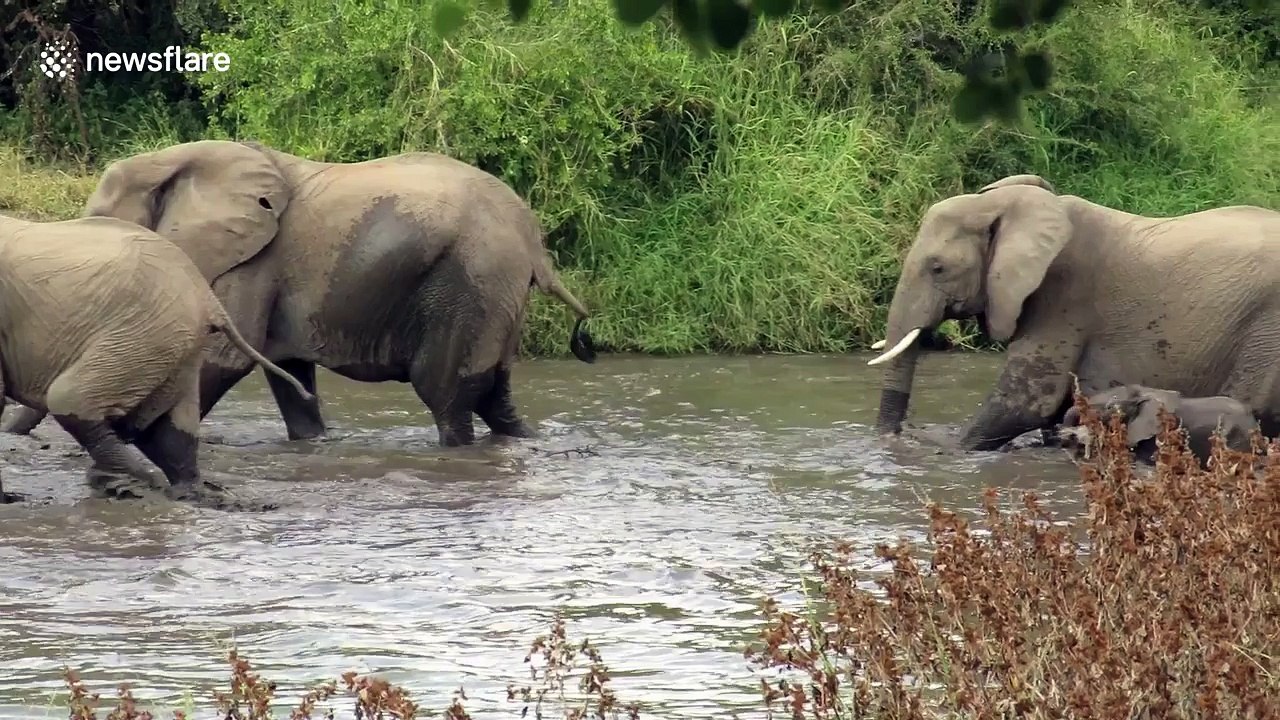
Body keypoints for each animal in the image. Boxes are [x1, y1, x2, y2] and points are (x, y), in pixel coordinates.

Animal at [0, 213, 313, 504]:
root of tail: (209, 297)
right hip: (168, 345)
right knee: (164, 428)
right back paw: (182, 492)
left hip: (142, 334)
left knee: (71, 400)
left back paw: (134, 483)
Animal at [1, 139, 597, 447]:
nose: (24, 441)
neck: (175, 159)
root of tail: (533, 241)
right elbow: (289, 374)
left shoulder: (255, 261)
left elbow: (221, 360)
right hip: (496, 293)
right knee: (495, 394)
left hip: (469, 281)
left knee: (447, 394)